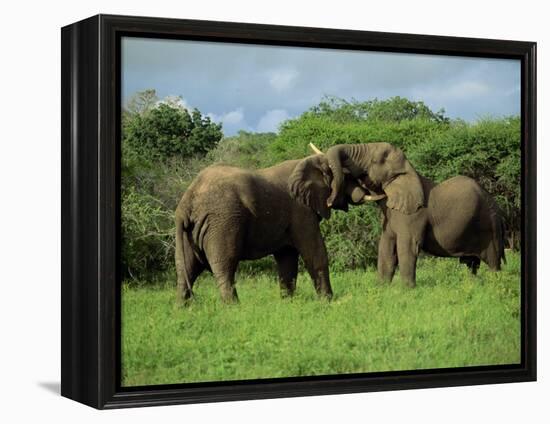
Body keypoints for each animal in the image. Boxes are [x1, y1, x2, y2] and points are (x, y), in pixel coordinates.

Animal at [175, 154, 378, 304]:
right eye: (349, 177)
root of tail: (187, 200)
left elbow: (287, 258)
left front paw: (288, 303)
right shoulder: (301, 210)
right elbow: (314, 253)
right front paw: (327, 301)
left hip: (191, 231)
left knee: (187, 268)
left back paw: (183, 309)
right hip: (222, 221)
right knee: (224, 265)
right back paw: (234, 308)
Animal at [308, 143, 506, 288]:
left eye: (374, 160)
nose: (329, 201)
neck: (407, 171)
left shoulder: (414, 214)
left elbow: (407, 247)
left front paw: (407, 290)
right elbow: (386, 247)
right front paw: (382, 288)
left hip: (490, 226)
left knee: (493, 262)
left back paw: (495, 285)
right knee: (471, 264)